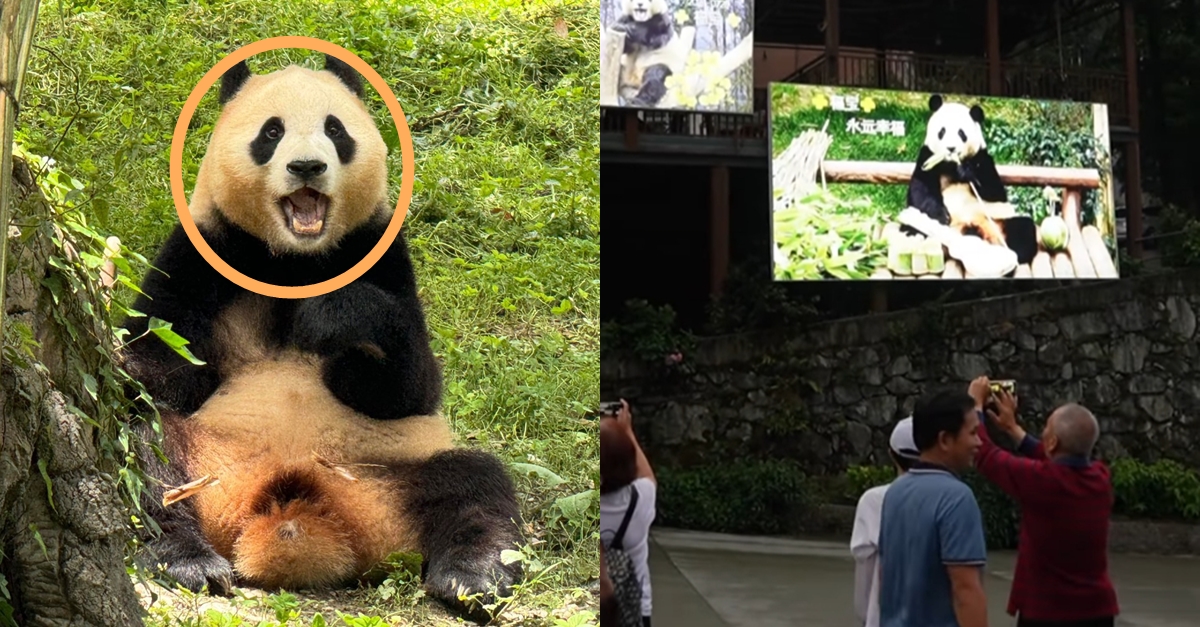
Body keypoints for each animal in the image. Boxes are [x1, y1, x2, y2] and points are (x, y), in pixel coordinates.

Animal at [120, 54, 525, 619]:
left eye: (336, 130)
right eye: (271, 132)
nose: (307, 167)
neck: (294, 261)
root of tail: (291, 519)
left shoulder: (378, 248)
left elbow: (408, 390)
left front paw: (332, 319)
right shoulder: (204, 248)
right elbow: (163, 365)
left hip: (387, 474)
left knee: (476, 485)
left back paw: (474, 576)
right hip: (205, 464)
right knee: (148, 454)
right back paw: (186, 559)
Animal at [902, 93, 1036, 265]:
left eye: (961, 133)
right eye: (942, 132)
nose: (951, 148)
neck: (951, 165)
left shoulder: (983, 158)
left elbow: (995, 191)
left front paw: (967, 171)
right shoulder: (927, 157)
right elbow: (921, 188)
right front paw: (941, 216)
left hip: (999, 220)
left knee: (1023, 227)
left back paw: (1016, 253)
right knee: (914, 225)